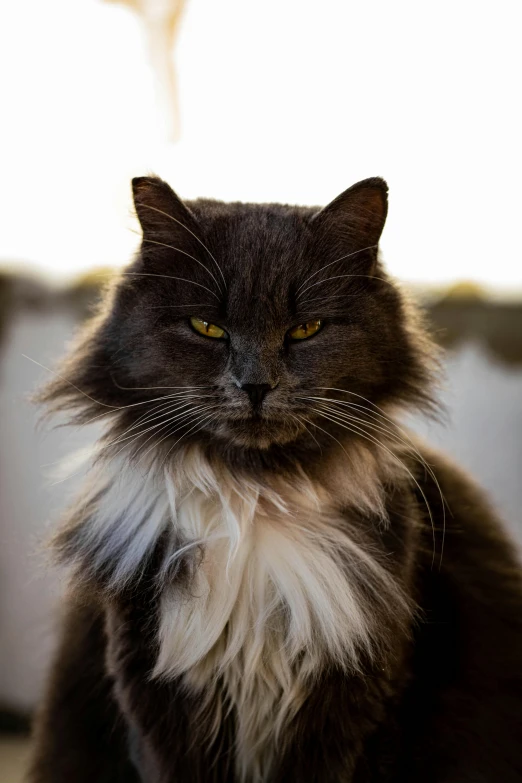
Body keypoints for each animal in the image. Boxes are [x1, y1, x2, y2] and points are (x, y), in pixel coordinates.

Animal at [28, 178, 520, 783]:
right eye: (208, 328)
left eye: (305, 329)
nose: (255, 384)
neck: (256, 495)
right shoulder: (152, 685)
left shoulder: (359, 695)